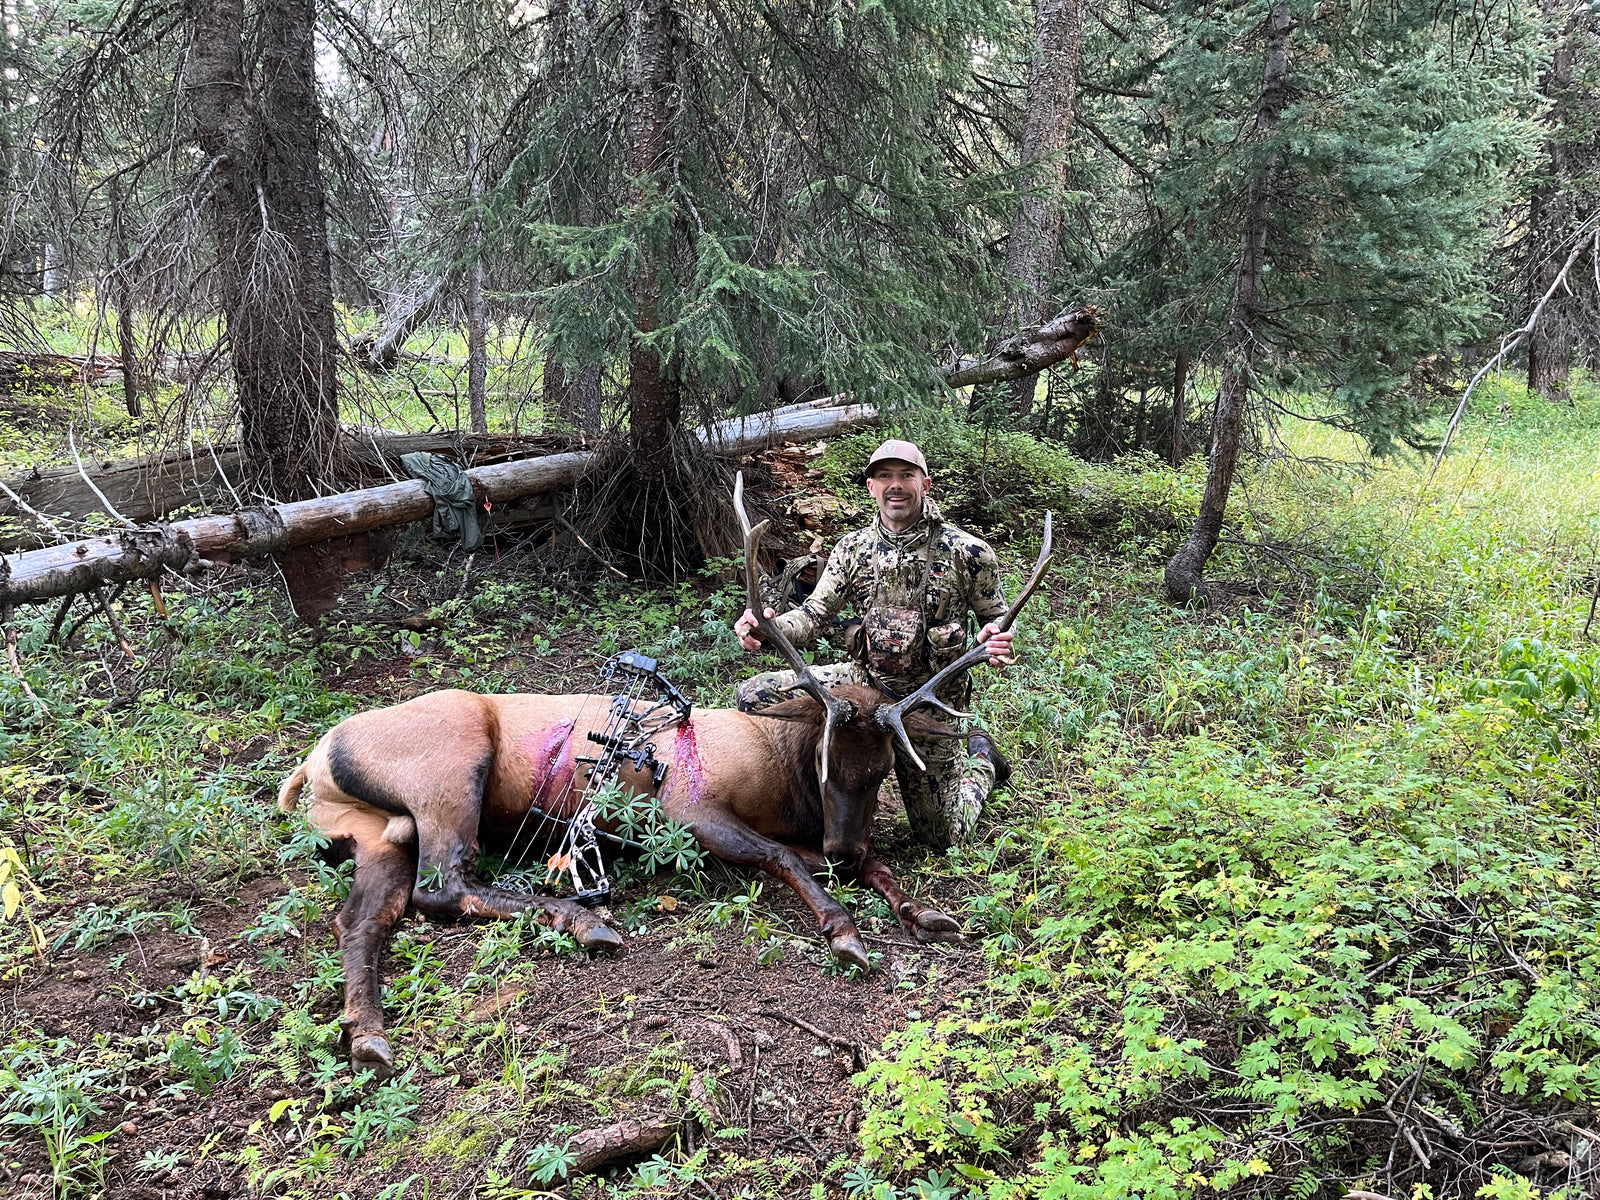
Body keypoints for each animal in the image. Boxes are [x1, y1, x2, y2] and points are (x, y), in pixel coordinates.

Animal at [276, 474, 1053, 1076]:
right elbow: (780, 860)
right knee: (444, 885)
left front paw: (924, 912)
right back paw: (585, 921)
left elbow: (878, 867)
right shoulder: (687, 809)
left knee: (364, 916)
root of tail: (313, 758)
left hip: (377, 830)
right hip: (450, 766)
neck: (786, 786)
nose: (842, 847)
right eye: (825, 756)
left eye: (889, 766)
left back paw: (368, 1037)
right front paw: (846, 932)